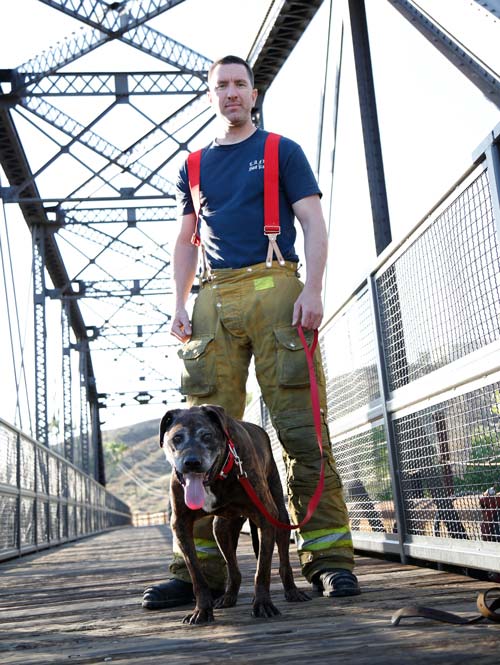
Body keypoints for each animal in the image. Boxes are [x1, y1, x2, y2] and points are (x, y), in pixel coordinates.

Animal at [159, 402, 308, 624]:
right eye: (176, 438)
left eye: (207, 436)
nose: (191, 462)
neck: (218, 476)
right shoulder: (181, 526)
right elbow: (197, 575)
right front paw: (202, 610)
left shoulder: (265, 518)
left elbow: (262, 569)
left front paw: (263, 604)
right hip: (221, 529)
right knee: (232, 567)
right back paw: (228, 596)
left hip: (279, 515)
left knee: (283, 561)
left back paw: (292, 591)